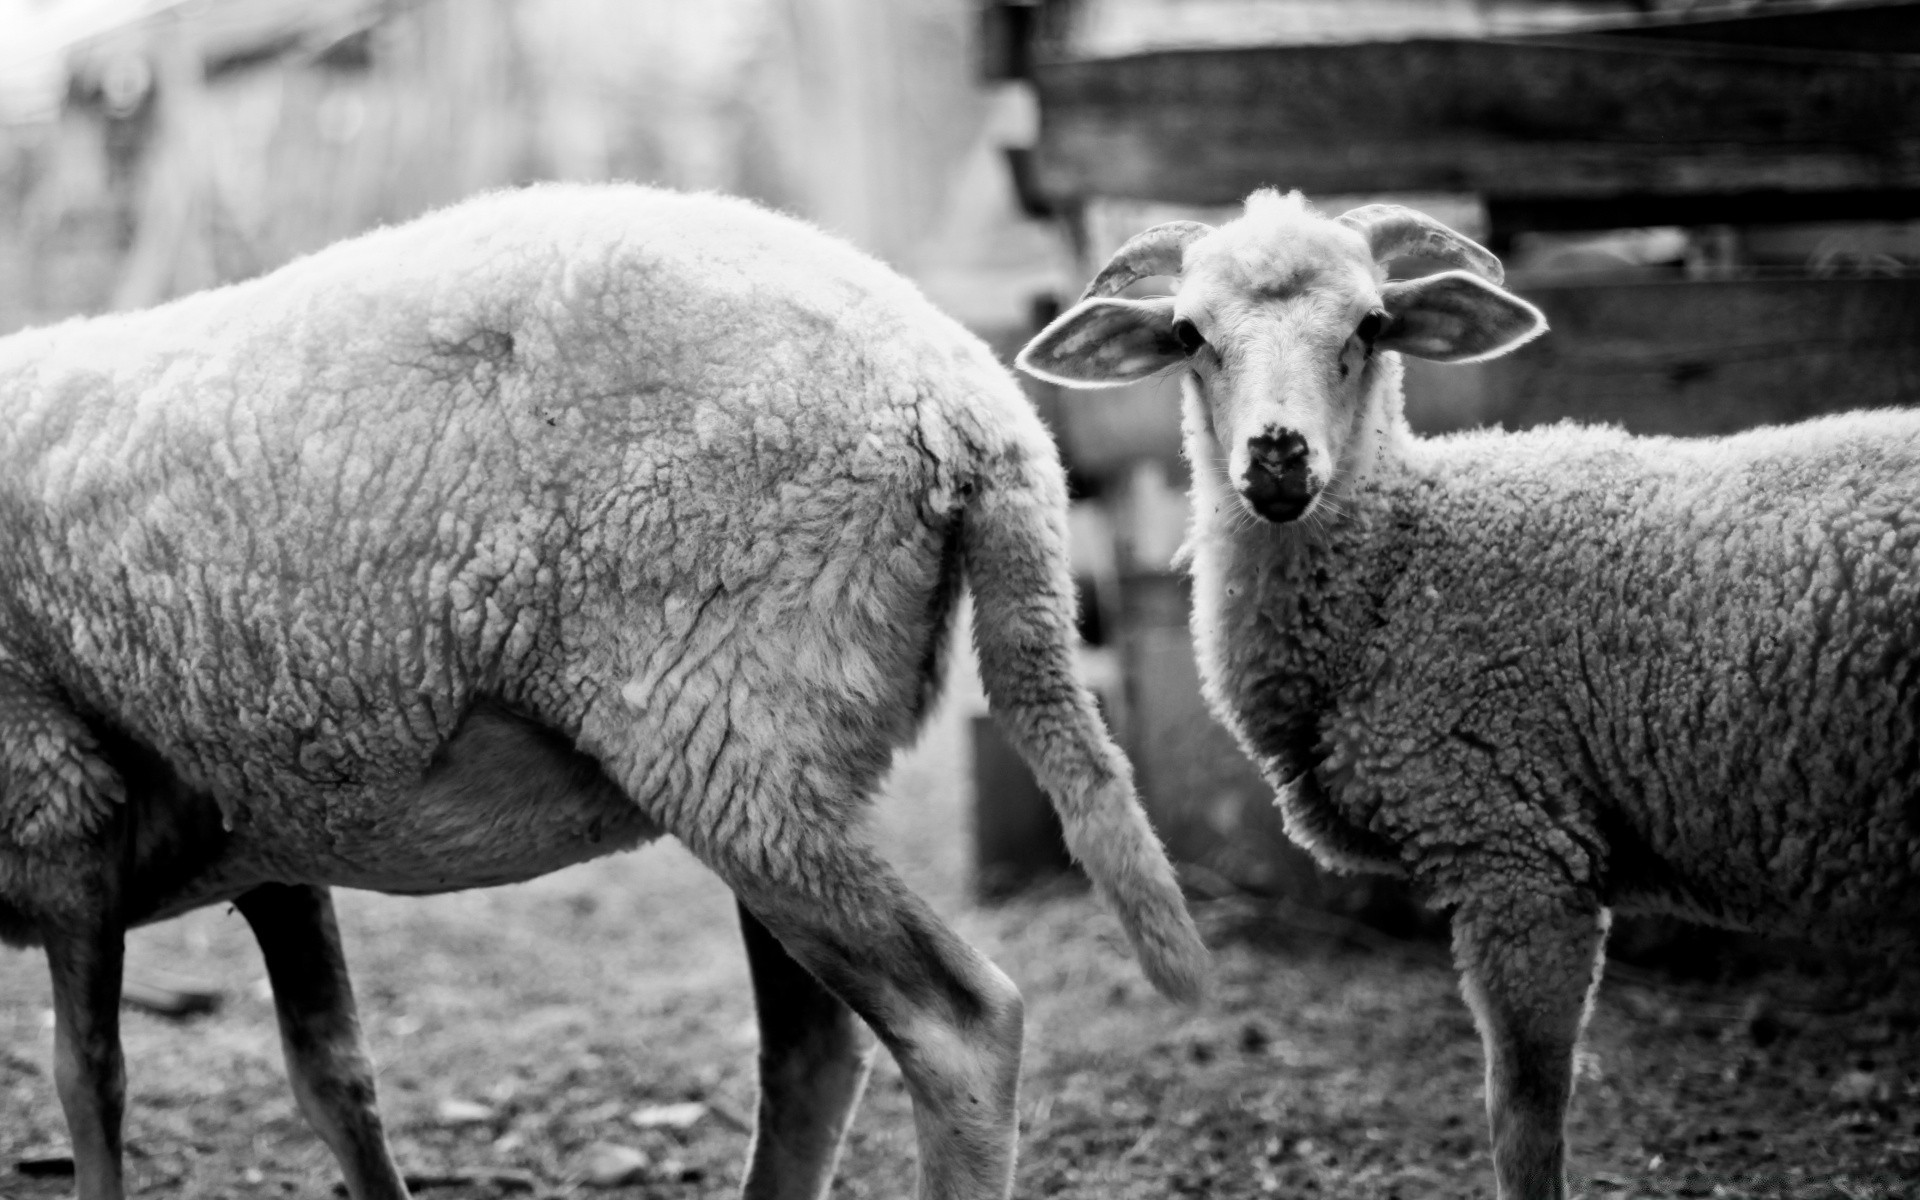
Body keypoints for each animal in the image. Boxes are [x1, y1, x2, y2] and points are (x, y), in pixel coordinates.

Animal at [0, 182, 1198, 1198]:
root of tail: (971, 401)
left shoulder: (57, 806)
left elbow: (88, 1082)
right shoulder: (267, 827)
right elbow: (334, 1078)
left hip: (732, 730)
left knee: (955, 1028)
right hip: (767, 761)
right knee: (814, 1050)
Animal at [1021, 185, 1920, 1198]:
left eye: (1372, 324)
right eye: (1185, 332)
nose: (1278, 458)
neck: (1406, 560)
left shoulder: (1518, 847)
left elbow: (1523, 1111)